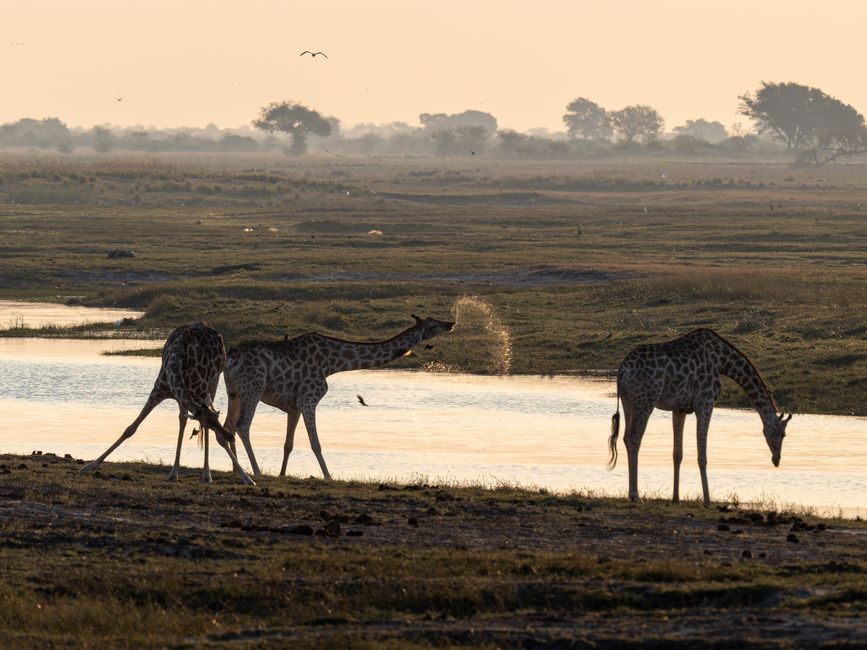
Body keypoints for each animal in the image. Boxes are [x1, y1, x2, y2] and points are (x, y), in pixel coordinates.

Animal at [80, 321, 255, 485]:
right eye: (213, 422)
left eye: (217, 420)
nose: (230, 437)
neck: (176, 364)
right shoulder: (158, 390)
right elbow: (131, 428)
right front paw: (89, 466)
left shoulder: (199, 391)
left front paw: (246, 478)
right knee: (183, 419)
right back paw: (175, 472)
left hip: (214, 378)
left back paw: (206, 475)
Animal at [220, 315, 455, 479]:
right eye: (432, 325)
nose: (451, 323)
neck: (332, 363)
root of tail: (230, 359)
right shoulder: (309, 399)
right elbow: (316, 443)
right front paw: (328, 475)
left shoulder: (294, 406)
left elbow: (289, 444)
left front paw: (282, 474)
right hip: (253, 387)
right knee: (242, 425)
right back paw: (255, 471)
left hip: (234, 391)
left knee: (227, 428)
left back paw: (237, 471)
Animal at [608, 328, 791, 507]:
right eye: (783, 434)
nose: (776, 460)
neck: (723, 362)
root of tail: (623, 370)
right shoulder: (705, 403)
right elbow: (702, 456)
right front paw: (707, 500)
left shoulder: (679, 408)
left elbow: (677, 454)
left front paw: (676, 498)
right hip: (646, 402)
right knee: (635, 438)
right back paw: (635, 495)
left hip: (628, 402)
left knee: (626, 437)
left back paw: (632, 493)